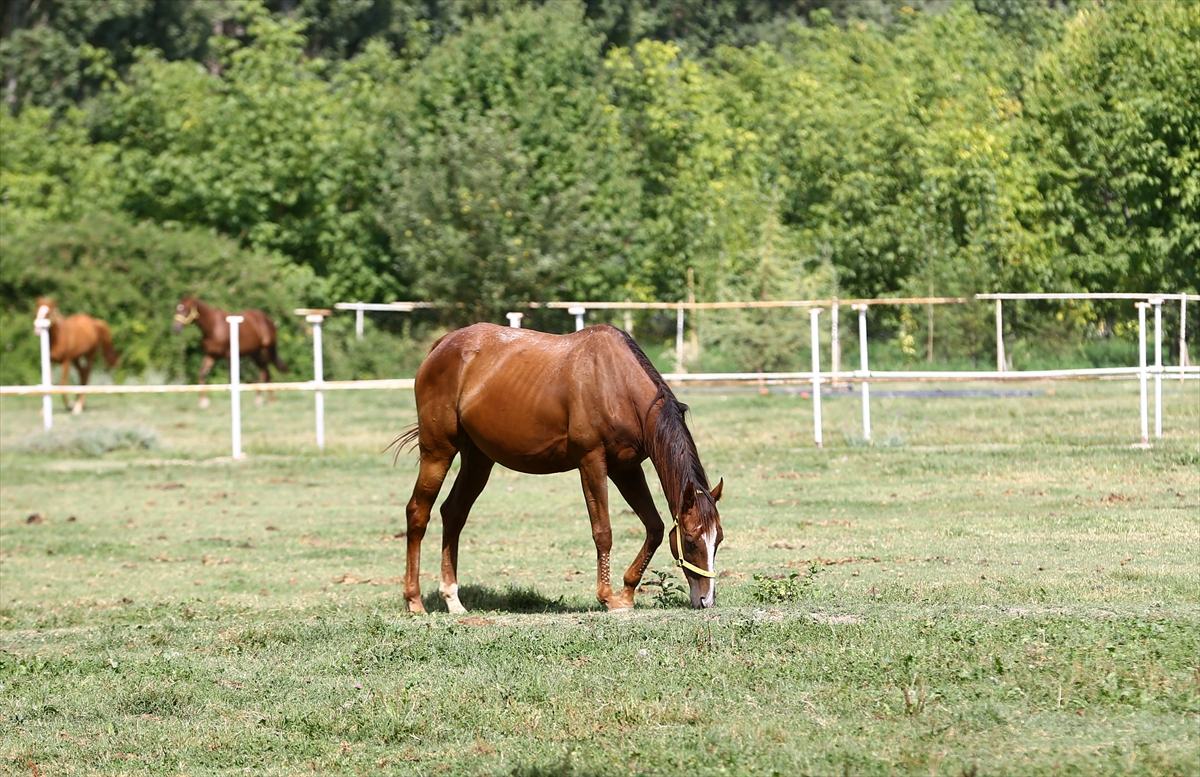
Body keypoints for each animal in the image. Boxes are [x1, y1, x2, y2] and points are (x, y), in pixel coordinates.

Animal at [398, 321, 724, 613]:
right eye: (691, 542)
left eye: (718, 539)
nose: (706, 600)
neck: (616, 383)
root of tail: (442, 345)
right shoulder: (592, 462)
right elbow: (603, 531)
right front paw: (607, 598)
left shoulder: (626, 469)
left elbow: (654, 527)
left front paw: (627, 593)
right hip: (437, 452)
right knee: (418, 513)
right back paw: (414, 601)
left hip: (478, 459)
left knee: (453, 513)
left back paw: (452, 599)